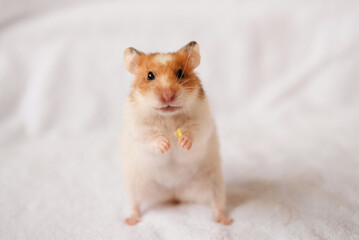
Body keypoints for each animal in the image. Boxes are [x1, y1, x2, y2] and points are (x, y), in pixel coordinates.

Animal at [121, 40, 233, 225]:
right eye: (149, 76)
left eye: (180, 73)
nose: (168, 96)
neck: (168, 115)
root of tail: (173, 194)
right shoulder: (138, 125)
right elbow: (150, 136)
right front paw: (166, 145)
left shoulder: (202, 119)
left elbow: (194, 131)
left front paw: (183, 143)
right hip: (134, 184)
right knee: (135, 204)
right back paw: (131, 221)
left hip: (214, 182)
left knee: (217, 203)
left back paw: (225, 220)